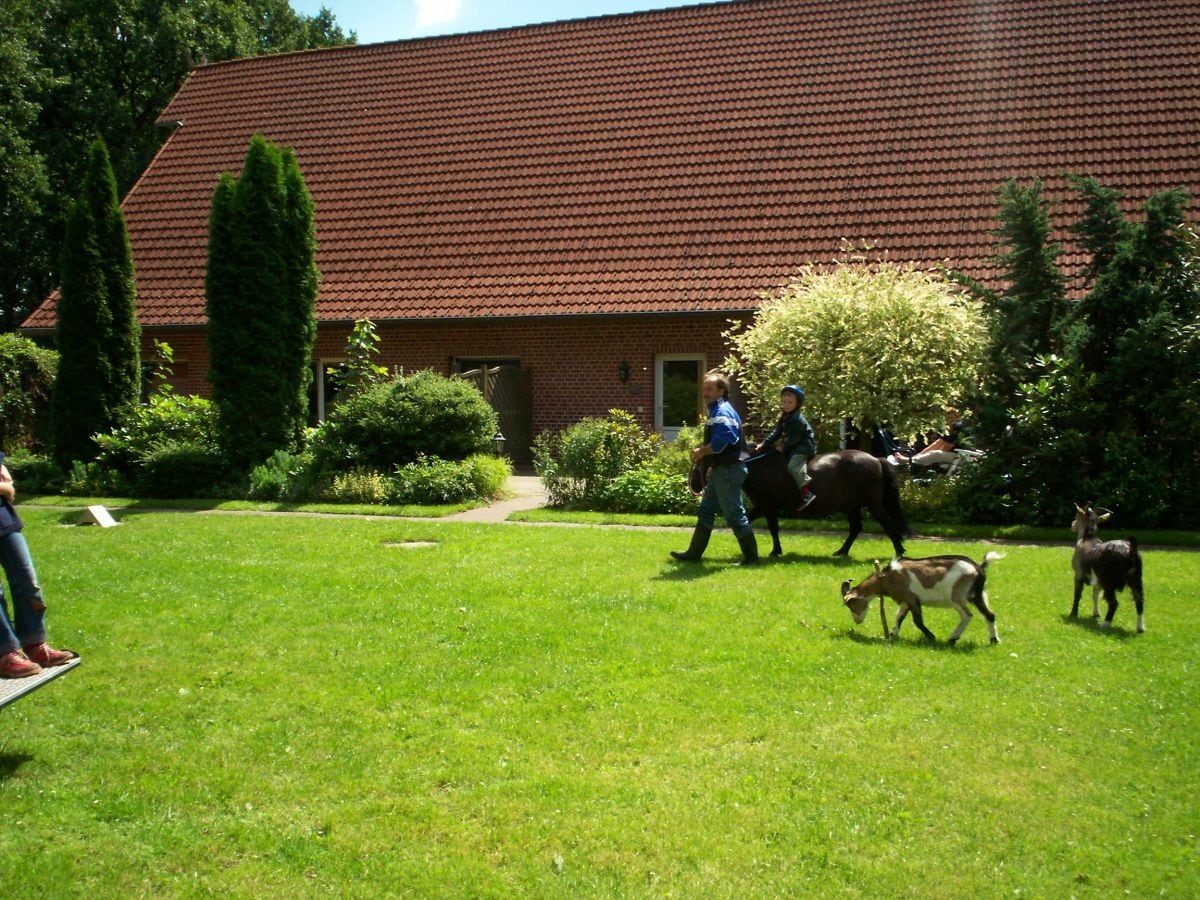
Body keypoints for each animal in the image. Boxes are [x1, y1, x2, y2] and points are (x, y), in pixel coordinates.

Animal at [739, 448, 907, 556]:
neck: (758, 466)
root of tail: (876, 459)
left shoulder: (766, 506)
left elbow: (772, 529)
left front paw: (775, 551)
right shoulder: (763, 507)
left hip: (873, 504)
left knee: (888, 525)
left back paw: (899, 552)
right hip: (853, 506)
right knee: (855, 528)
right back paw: (842, 551)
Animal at [844, 554, 1003, 643]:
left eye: (851, 605)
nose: (857, 621)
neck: (886, 578)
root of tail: (978, 568)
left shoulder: (912, 598)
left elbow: (917, 621)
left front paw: (931, 637)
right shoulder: (906, 601)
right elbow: (899, 616)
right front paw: (893, 634)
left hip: (956, 596)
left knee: (967, 615)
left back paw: (952, 639)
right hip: (976, 595)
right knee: (990, 614)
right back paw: (994, 640)